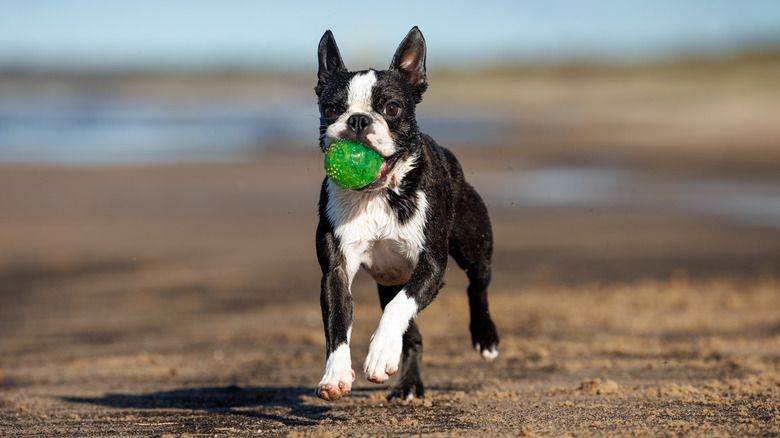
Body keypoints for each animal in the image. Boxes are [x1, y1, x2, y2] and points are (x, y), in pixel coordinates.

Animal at [312, 27, 500, 402]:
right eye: (331, 108)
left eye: (392, 108)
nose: (357, 120)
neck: (377, 195)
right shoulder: (335, 272)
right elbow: (337, 324)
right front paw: (335, 375)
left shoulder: (431, 266)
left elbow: (400, 306)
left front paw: (380, 353)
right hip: (390, 281)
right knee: (412, 336)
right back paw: (410, 383)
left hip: (474, 243)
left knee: (477, 285)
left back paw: (485, 337)